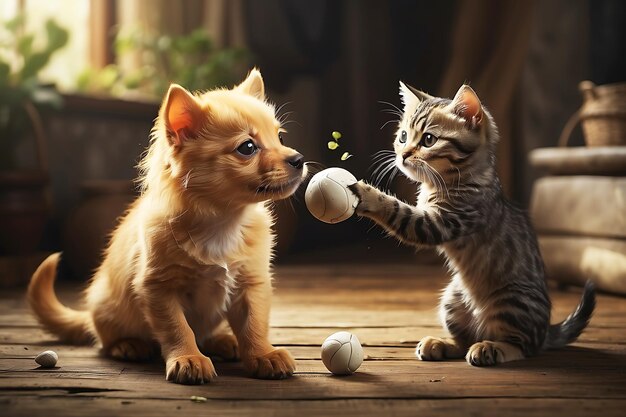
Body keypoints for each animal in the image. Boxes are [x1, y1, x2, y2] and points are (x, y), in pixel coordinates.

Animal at [28, 69, 306, 384]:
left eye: (280, 136)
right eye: (247, 148)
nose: (299, 159)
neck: (223, 221)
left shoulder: (252, 283)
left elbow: (254, 323)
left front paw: (263, 354)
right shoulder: (159, 288)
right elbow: (178, 328)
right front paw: (189, 358)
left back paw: (222, 340)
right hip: (105, 305)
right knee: (106, 338)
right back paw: (128, 344)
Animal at [348, 81, 592, 364]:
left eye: (428, 140)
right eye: (403, 136)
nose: (403, 155)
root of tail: (546, 331)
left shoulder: (443, 222)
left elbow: (400, 211)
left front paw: (367, 194)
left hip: (512, 299)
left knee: (523, 346)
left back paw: (492, 348)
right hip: (453, 299)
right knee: (465, 340)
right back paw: (441, 344)